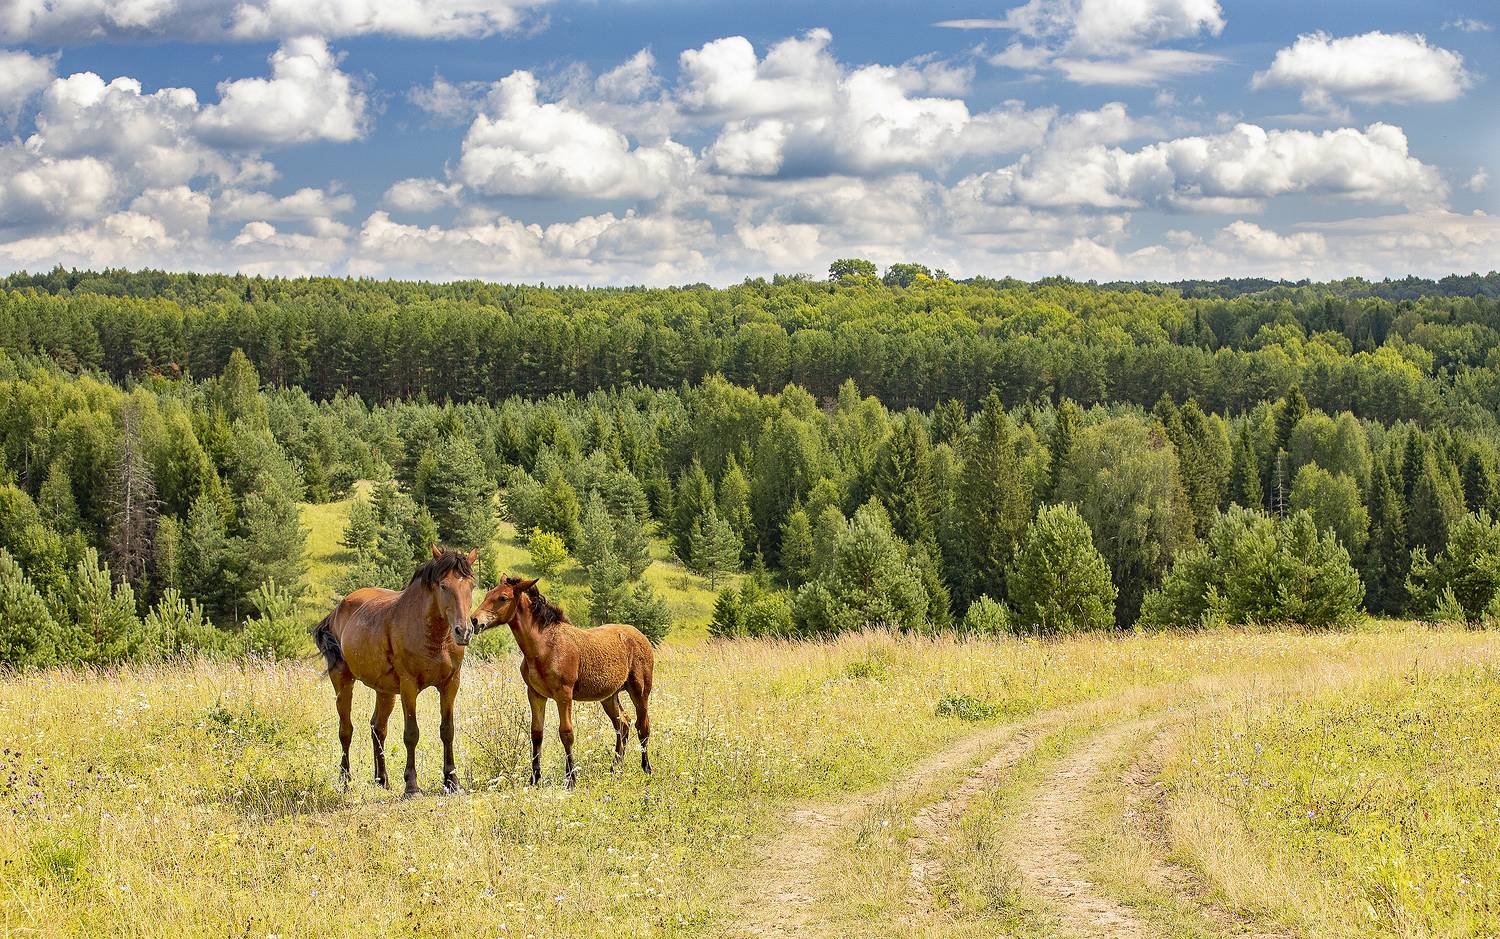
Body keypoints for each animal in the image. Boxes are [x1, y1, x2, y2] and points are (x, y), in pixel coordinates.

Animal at [312, 546, 478, 797]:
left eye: (471, 585)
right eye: (443, 585)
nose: (464, 631)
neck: (434, 637)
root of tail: (338, 609)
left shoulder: (450, 683)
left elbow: (447, 730)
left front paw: (452, 781)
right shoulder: (409, 687)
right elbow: (411, 733)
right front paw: (412, 785)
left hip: (385, 691)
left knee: (377, 728)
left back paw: (382, 780)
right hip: (343, 682)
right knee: (346, 730)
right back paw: (345, 780)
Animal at [470, 576, 654, 788]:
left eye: (503, 598)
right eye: (487, 594)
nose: (474, 620)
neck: (544, 647)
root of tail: (640, 635)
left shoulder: (564, 694)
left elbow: (566, 733)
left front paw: (571, 779)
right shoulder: (535, 694)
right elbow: (536, 733)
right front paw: (534, 779)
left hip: (640, 691)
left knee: (643, 726)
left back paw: (647, 768)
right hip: (609, 696)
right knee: (623, 724)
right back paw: (615, 769)